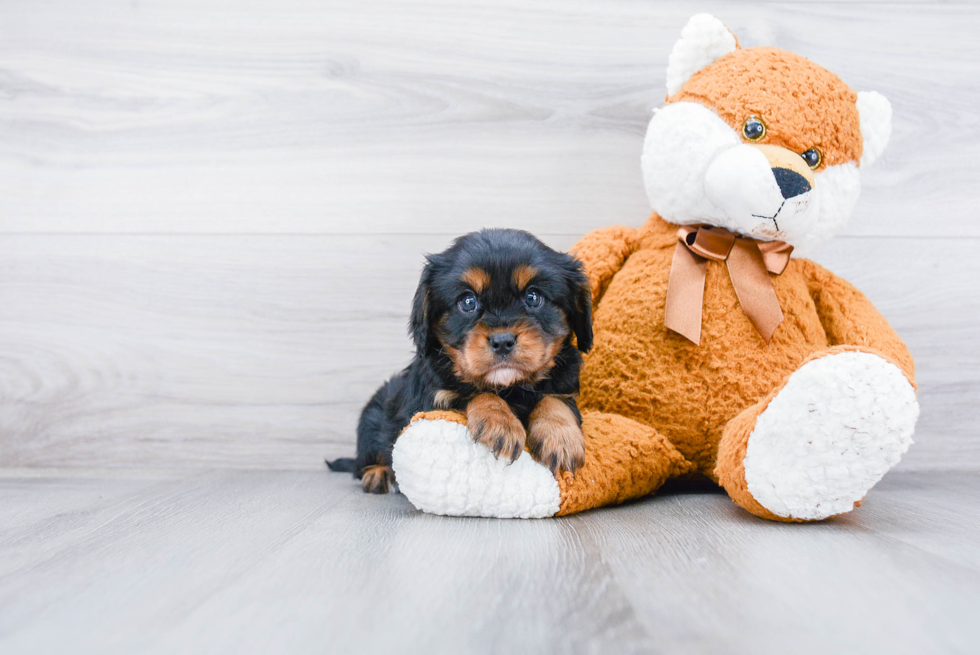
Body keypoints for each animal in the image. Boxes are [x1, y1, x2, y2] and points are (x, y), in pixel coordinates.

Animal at [328, 228, 588, 494]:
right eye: (468, 302)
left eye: (534, 297)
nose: (502, 341)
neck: (510, 388)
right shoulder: (433, 400)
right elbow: (473, 393)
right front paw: (500, 423)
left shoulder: (565, 386)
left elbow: (554, 400)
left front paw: (561, 438)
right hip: (371, 419)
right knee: (363, 462)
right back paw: (378, 474)